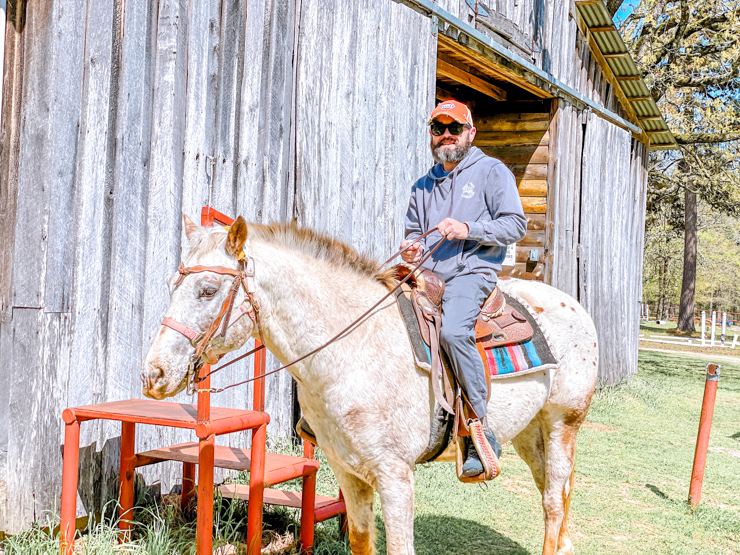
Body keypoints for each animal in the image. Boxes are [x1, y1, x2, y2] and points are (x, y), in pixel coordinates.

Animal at [142, 216, 600, 555]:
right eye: (171, 286)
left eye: (207, 290)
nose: (154, 374)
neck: (352, 350)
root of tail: (571, 304)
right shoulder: (348, 471)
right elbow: (362, 541)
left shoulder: (395, 475)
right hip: (529, 432)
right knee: (553, 494)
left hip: (564, 423)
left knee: (553, 500)